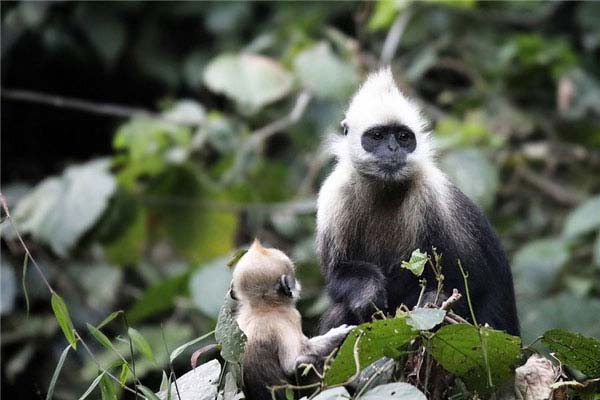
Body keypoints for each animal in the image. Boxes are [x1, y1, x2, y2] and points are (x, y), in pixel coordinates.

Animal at [230, 241, 352, 400]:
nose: (297, 284)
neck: (262, 308)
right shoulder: (289, 318)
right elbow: (292, 364)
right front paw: (335, 335)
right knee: (304, 362)